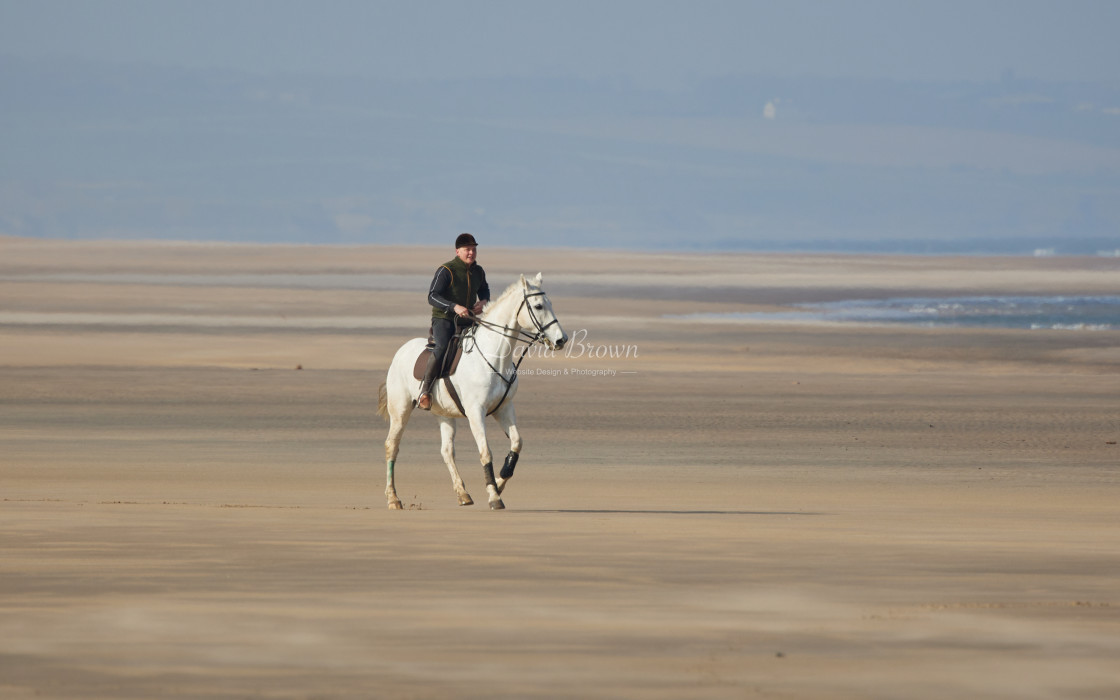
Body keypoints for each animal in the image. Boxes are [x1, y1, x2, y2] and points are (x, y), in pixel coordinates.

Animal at [378, 272, 568, 508]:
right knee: (392, 446)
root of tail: (401, 351)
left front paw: (500, 481)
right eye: (539, 305)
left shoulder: (504, 408)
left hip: (444, 415)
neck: (495, 356)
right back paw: (393, 498)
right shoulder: (476, 412)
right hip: (400, 411)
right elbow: (485, 452)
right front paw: (494, 495)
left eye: (550, 303)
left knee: (447, 451)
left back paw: (463, 494)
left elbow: (516, 443)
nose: (561, 339)